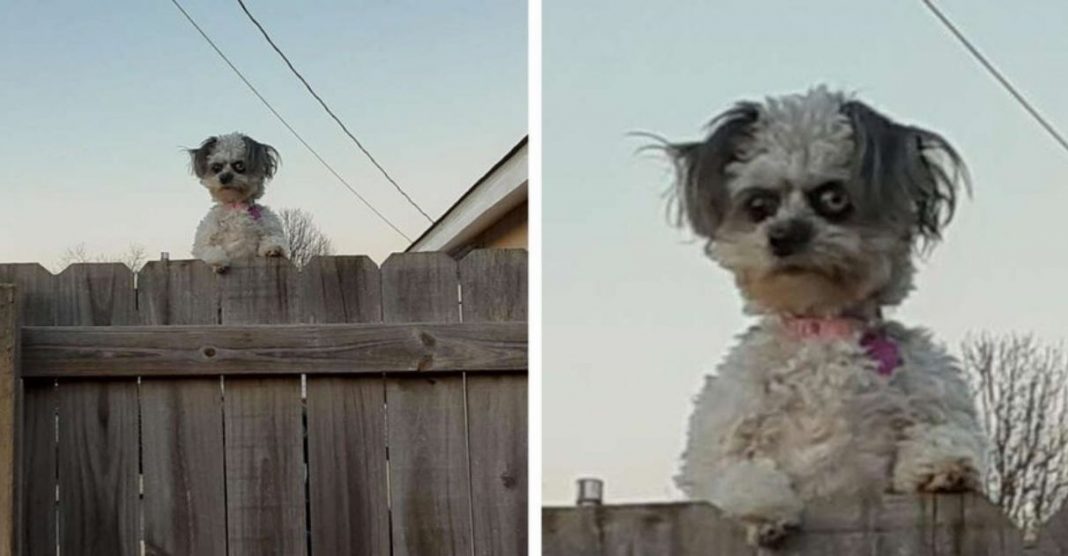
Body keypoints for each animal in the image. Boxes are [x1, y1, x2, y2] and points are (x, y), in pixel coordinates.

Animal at [187, 131, 288, 269]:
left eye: (239, 165)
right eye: (216, 167)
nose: (224, 177)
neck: (236, 205)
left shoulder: (269, 225)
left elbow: (274, 237)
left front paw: (273, 248)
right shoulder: (204, 239)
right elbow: (209, 249)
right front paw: (217, 260)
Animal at [662, 88, 986, 546]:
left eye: (833, 198)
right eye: (759, 205)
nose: (782, 236)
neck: (823, 328)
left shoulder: (934, 397)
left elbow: (945, 432)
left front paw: (943, 465)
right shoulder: (720, 440)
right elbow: (737, 472)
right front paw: (766, 509)